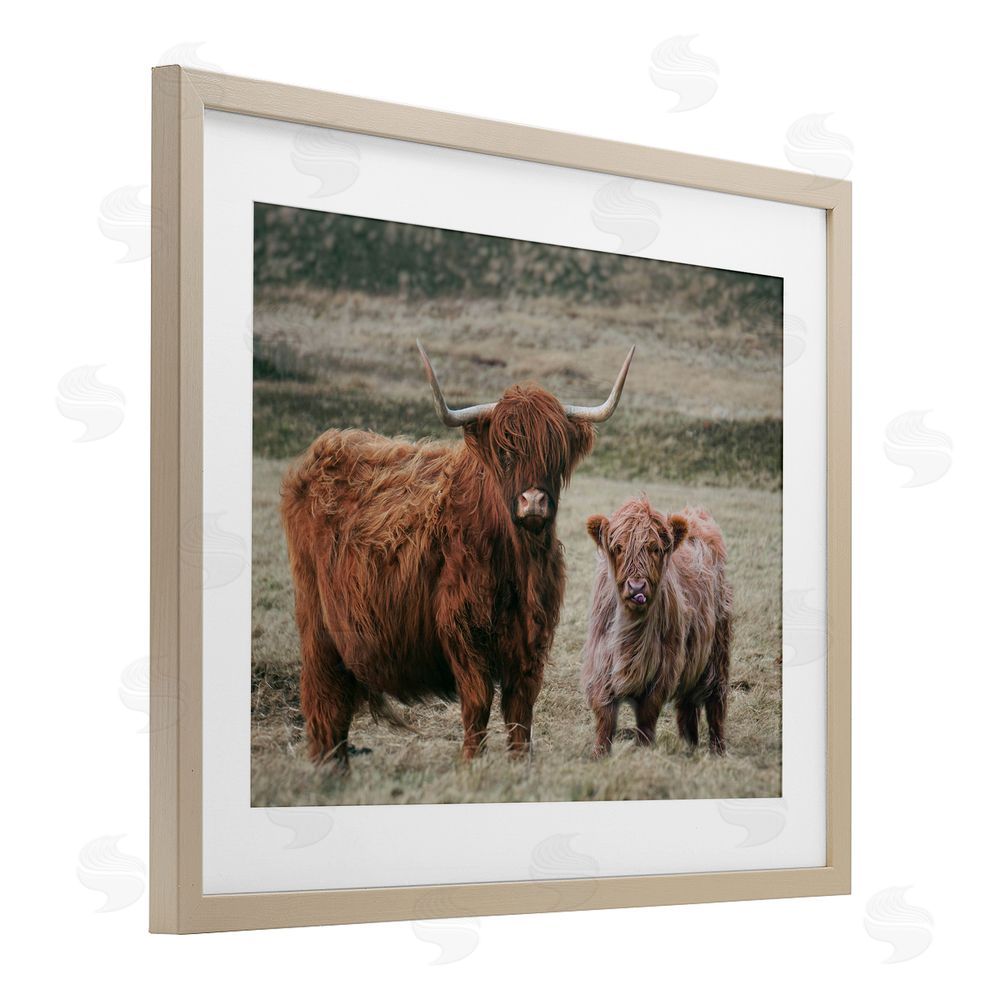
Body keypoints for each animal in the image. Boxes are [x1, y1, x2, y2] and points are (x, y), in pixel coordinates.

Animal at [280, 341, 635, 766]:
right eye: (505, 452)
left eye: (555, 452)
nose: (533, 501)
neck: (518, 563)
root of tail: (324, 449)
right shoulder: (464, 631)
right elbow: (477, 703)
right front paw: (471, 762)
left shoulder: (531, 640)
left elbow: (520, 711)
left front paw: (520, 764)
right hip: (317, 623)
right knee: (324, 701)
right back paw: (328, 769)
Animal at [581, 497, 732, 758]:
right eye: (618, 547)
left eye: (655, 549)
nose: (636, 587)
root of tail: (696, 514)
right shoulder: (601, 664)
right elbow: (605, 717)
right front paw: (599, 755)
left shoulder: (663, 670)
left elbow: (647, 716)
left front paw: (642, 751)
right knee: (687, 705)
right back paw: (689, 747)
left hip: (717, 651)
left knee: (715, 702)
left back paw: (718, 751)